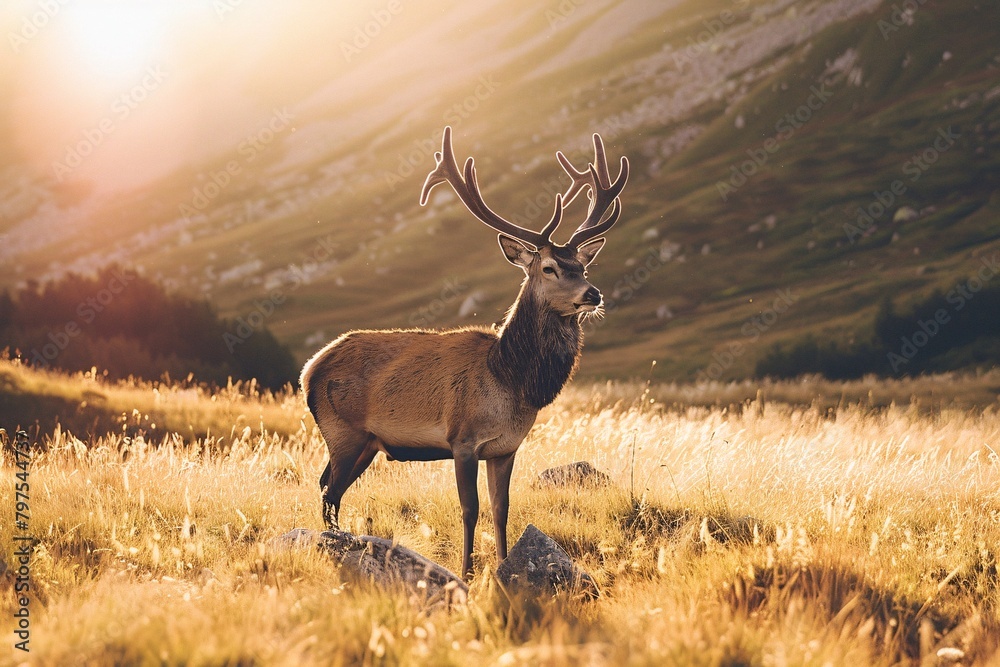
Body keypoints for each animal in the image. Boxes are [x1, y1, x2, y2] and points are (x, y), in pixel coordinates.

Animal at [300, 126, 629, 580]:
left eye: (583, 265)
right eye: (549, 268)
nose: (593, 294)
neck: (510, 380)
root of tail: (308, 371)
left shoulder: (506, 447)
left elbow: (501, 509)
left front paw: (505, 566)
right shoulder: (462, 439)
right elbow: (470, 510)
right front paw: (468, 572)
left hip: (364, 443)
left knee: (326, 487)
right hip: (341, 430)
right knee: (330, 492)